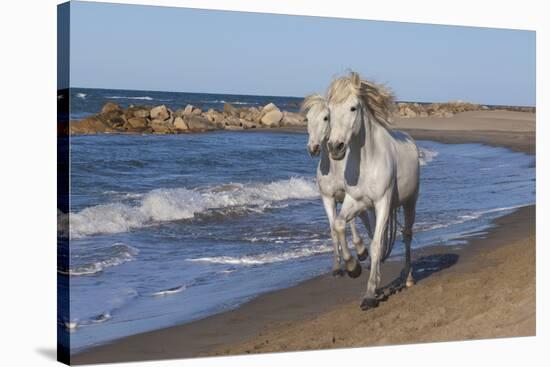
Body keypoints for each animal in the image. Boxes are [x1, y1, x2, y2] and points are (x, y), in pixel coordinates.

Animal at [302, 95, 376, 278]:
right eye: (307, 119)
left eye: (325, 118)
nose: (313, 148)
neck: (335, 168)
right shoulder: (328, 199)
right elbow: (333, 229)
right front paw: (337, 266)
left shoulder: (349, 196)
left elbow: (351, 222)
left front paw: (360, 252)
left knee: (368, 220)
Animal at [326, 72, 420, 310]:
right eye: (329, 112)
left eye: (353, 108)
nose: (335, 147)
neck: (368, 160)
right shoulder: (354, 200)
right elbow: (339, 225)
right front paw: (353, 267)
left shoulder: (383, 202)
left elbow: (376, 245)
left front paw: (369, 296)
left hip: (410, 202)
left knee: (407, 236)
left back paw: (408, 278)